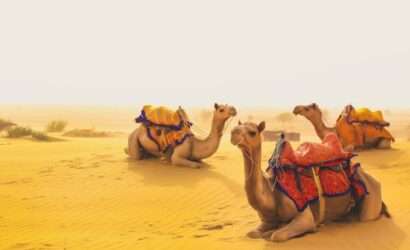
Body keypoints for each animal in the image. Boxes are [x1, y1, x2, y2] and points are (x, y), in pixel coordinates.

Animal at [231, 121, 388, 242]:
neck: (271, 192)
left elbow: (278, 235)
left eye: (252, 132)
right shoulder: (266, 220)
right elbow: (252, 233)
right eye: (237, 126)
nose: (233, 133)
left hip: (370, 199)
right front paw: (267, 231)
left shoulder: (304, 214)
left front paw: (307, 230)